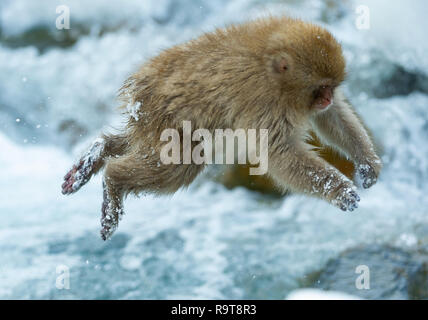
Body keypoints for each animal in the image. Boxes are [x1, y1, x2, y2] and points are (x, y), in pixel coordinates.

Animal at [60, 15, 382, 240]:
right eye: (321, 88)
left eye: (331, 88)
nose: (327, 98)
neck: (271, 70)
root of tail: (138, 88)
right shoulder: (263, 101)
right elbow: (279, 154)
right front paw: (340, 190)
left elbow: (331, 117)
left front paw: (368, 164)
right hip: (166, 118)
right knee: (179, 164)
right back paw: (113, 180)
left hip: (149, 120)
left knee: (142, 146)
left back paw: (98, 153)